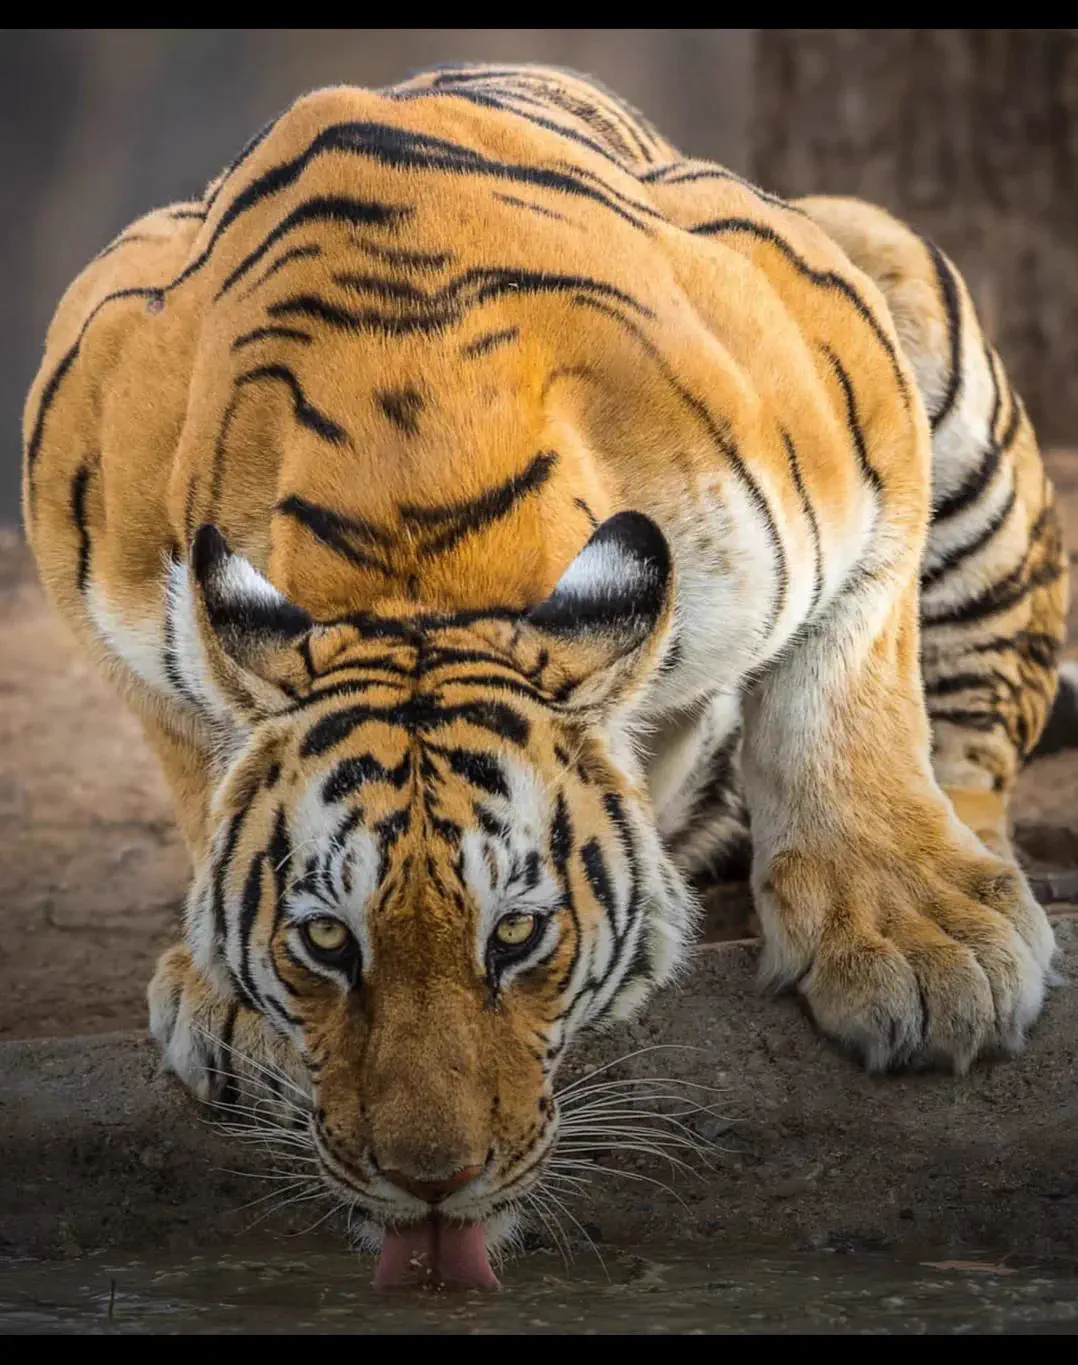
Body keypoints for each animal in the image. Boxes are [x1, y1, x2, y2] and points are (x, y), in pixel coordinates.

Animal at [23, 62, 1068, 1288]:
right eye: (328, 943)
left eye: (517, 936)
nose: (430, 1180)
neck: (411, 552)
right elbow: (195, 750)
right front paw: (227, 996)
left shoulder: (846, 382)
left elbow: (843, 685)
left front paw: (919, 943)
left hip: (903, 298)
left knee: (974, 723)